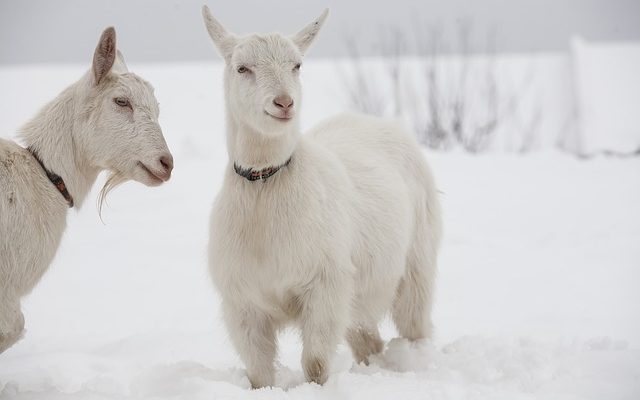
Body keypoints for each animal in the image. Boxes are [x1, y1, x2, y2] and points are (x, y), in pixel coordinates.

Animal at [202, 5, 442, 388]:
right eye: (242, 68)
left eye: (297, 65)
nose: (284, 103)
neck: (265, 189)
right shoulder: (242, 302)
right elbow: (258, 371)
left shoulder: (326, 285)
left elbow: (314, 363)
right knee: (367, 338)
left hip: (416, 260)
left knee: (414, 323)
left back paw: (415, 362)